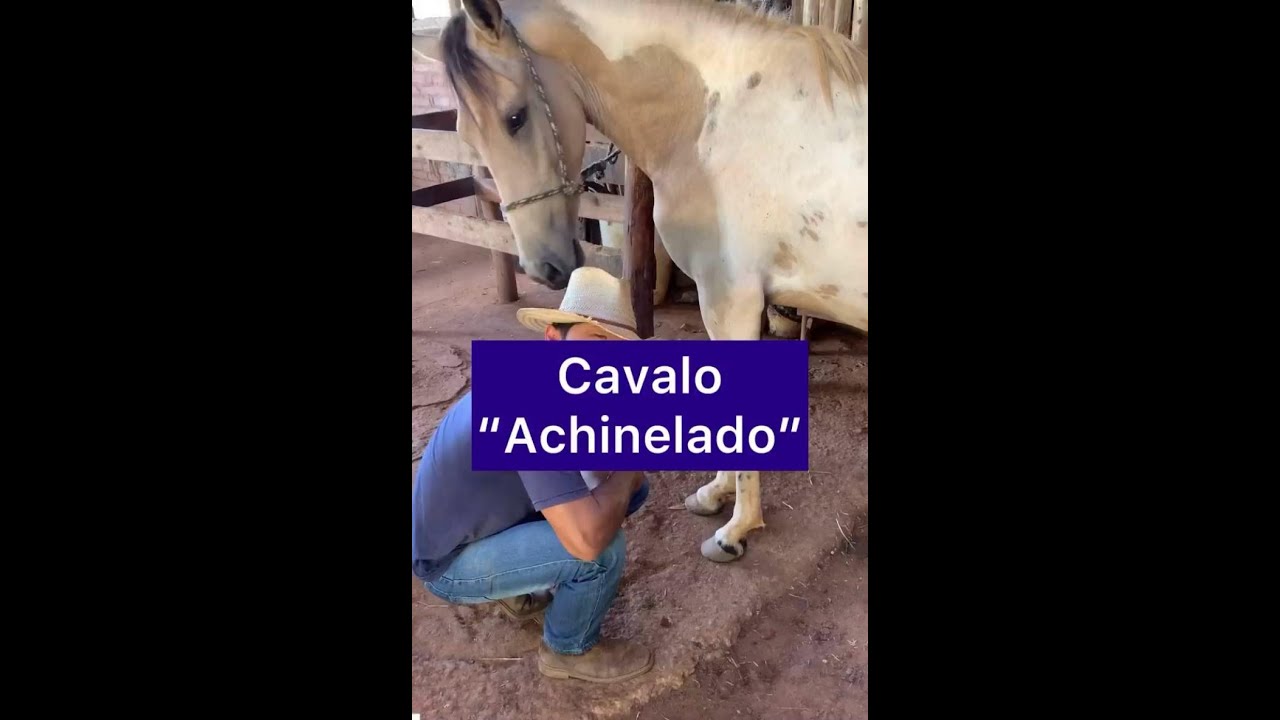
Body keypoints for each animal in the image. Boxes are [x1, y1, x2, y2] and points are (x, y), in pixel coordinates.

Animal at [413, 0, 867, 563]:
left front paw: (735, 529)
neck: (712, 122)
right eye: (466, 135)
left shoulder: (730, 299)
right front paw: (715, 496)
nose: (543, 267)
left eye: (515, 118)